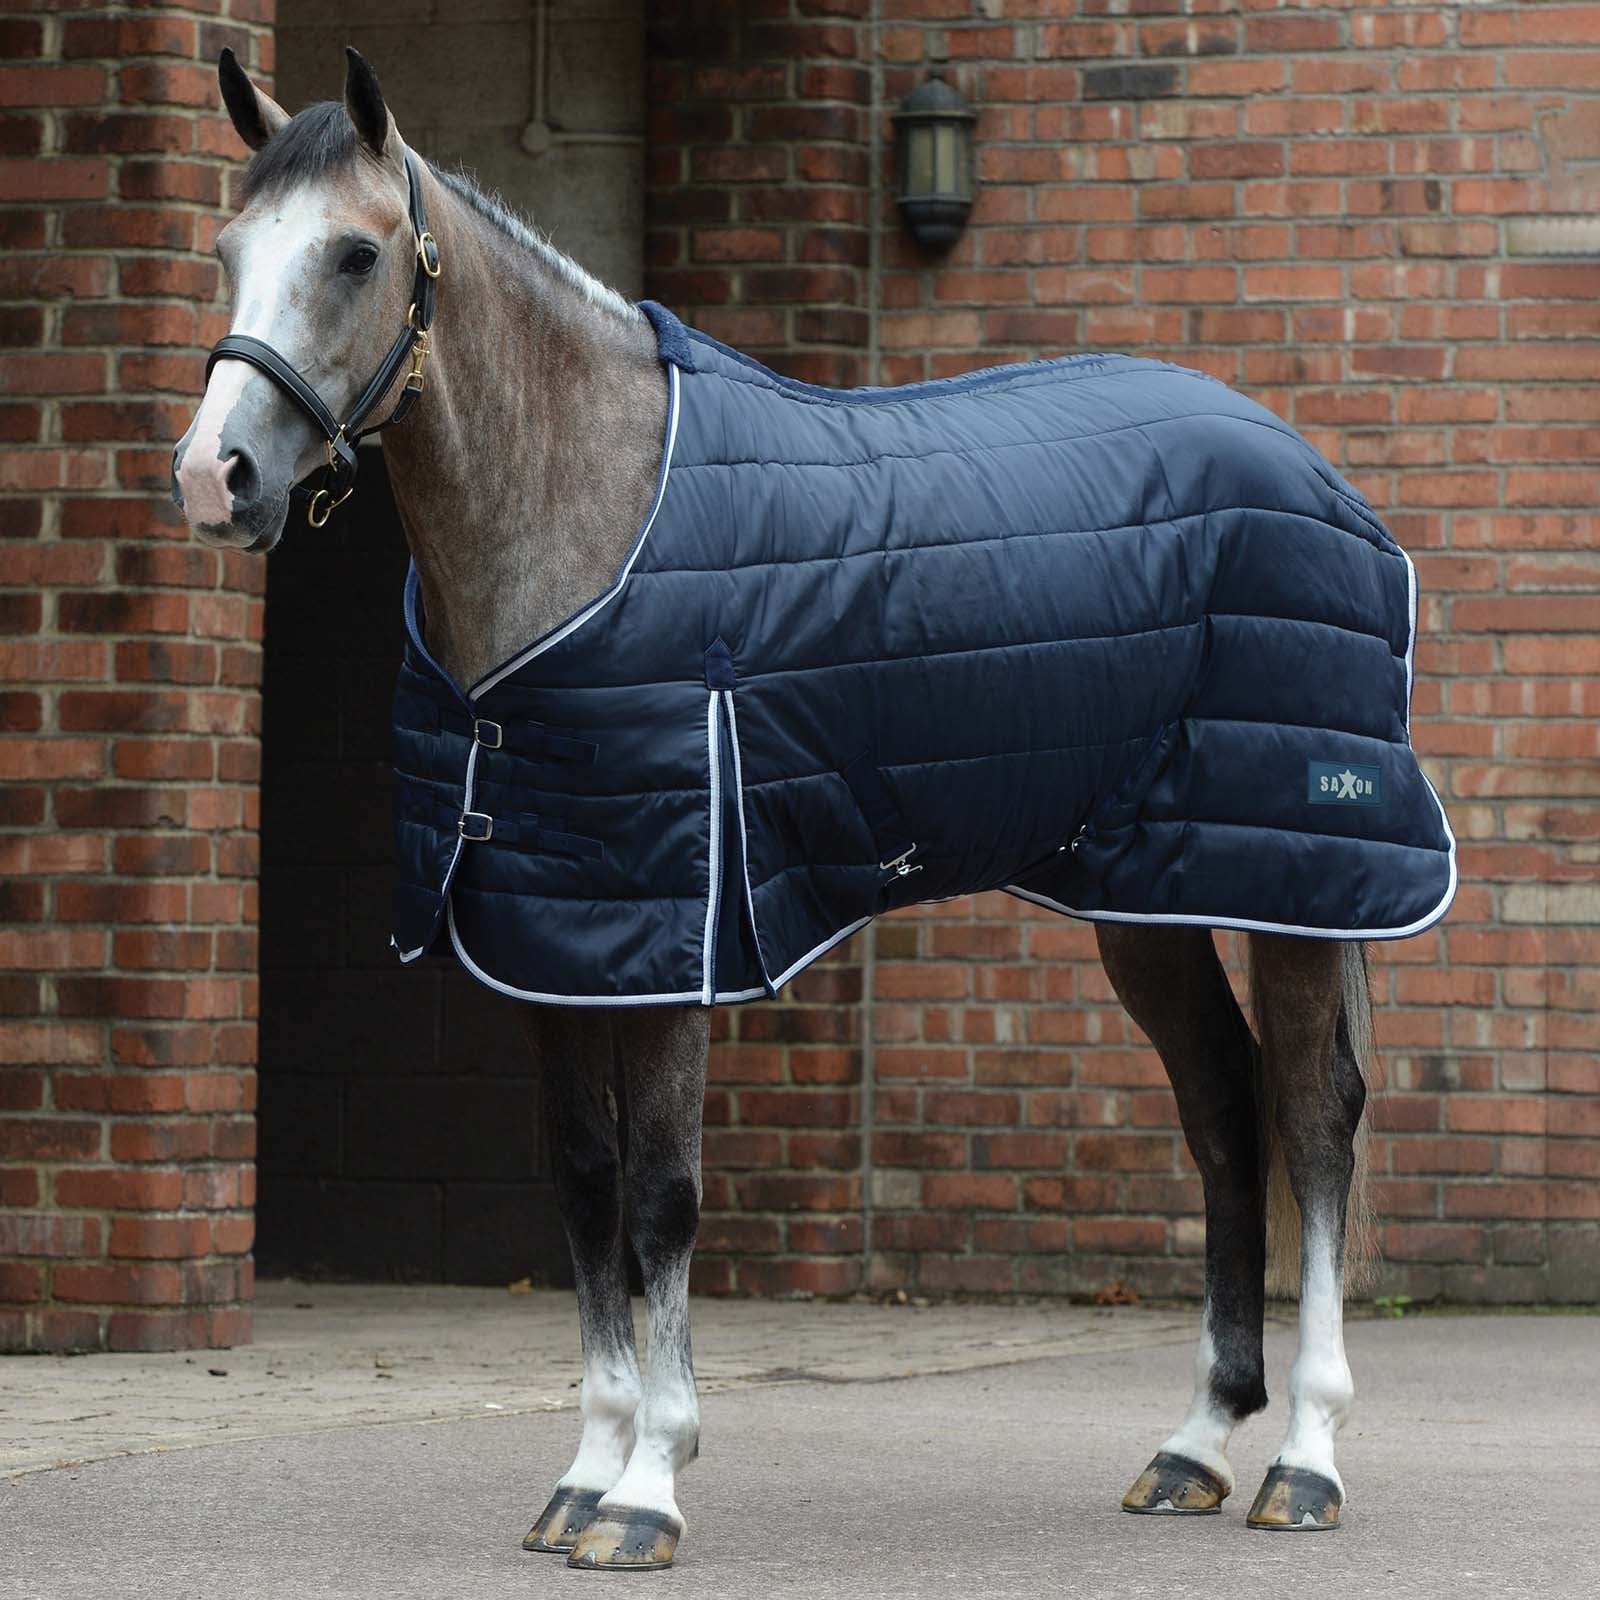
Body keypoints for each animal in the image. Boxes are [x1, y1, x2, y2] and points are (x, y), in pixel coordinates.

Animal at [173, 49, 1454, 1571]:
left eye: (357, 253)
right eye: (227, 250)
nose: (214, 478)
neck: (591, 518)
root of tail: (1317, 474)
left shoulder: (673, 935)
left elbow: (664, 1196)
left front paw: (649, 1489)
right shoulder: (554, 937)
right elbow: (585, 1186)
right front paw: (584, 1474)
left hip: (1297, 877)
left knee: (1314, 1123)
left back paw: (1304, 1459)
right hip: (1153, 892)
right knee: (1223, 1110)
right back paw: (1195, 1444)